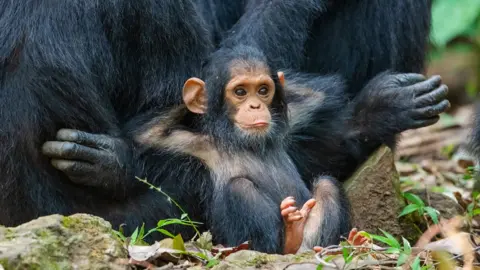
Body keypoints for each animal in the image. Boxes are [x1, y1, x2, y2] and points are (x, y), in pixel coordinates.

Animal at [131, 44, 450, 253]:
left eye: (262, 90)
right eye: (239, 92)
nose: (255, 106)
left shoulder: (293, 117)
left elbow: (325, 121)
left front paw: (385, 107)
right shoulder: (189, 144)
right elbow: (145, 135)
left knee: (326, 184)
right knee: (239, 188)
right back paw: (288, 239)